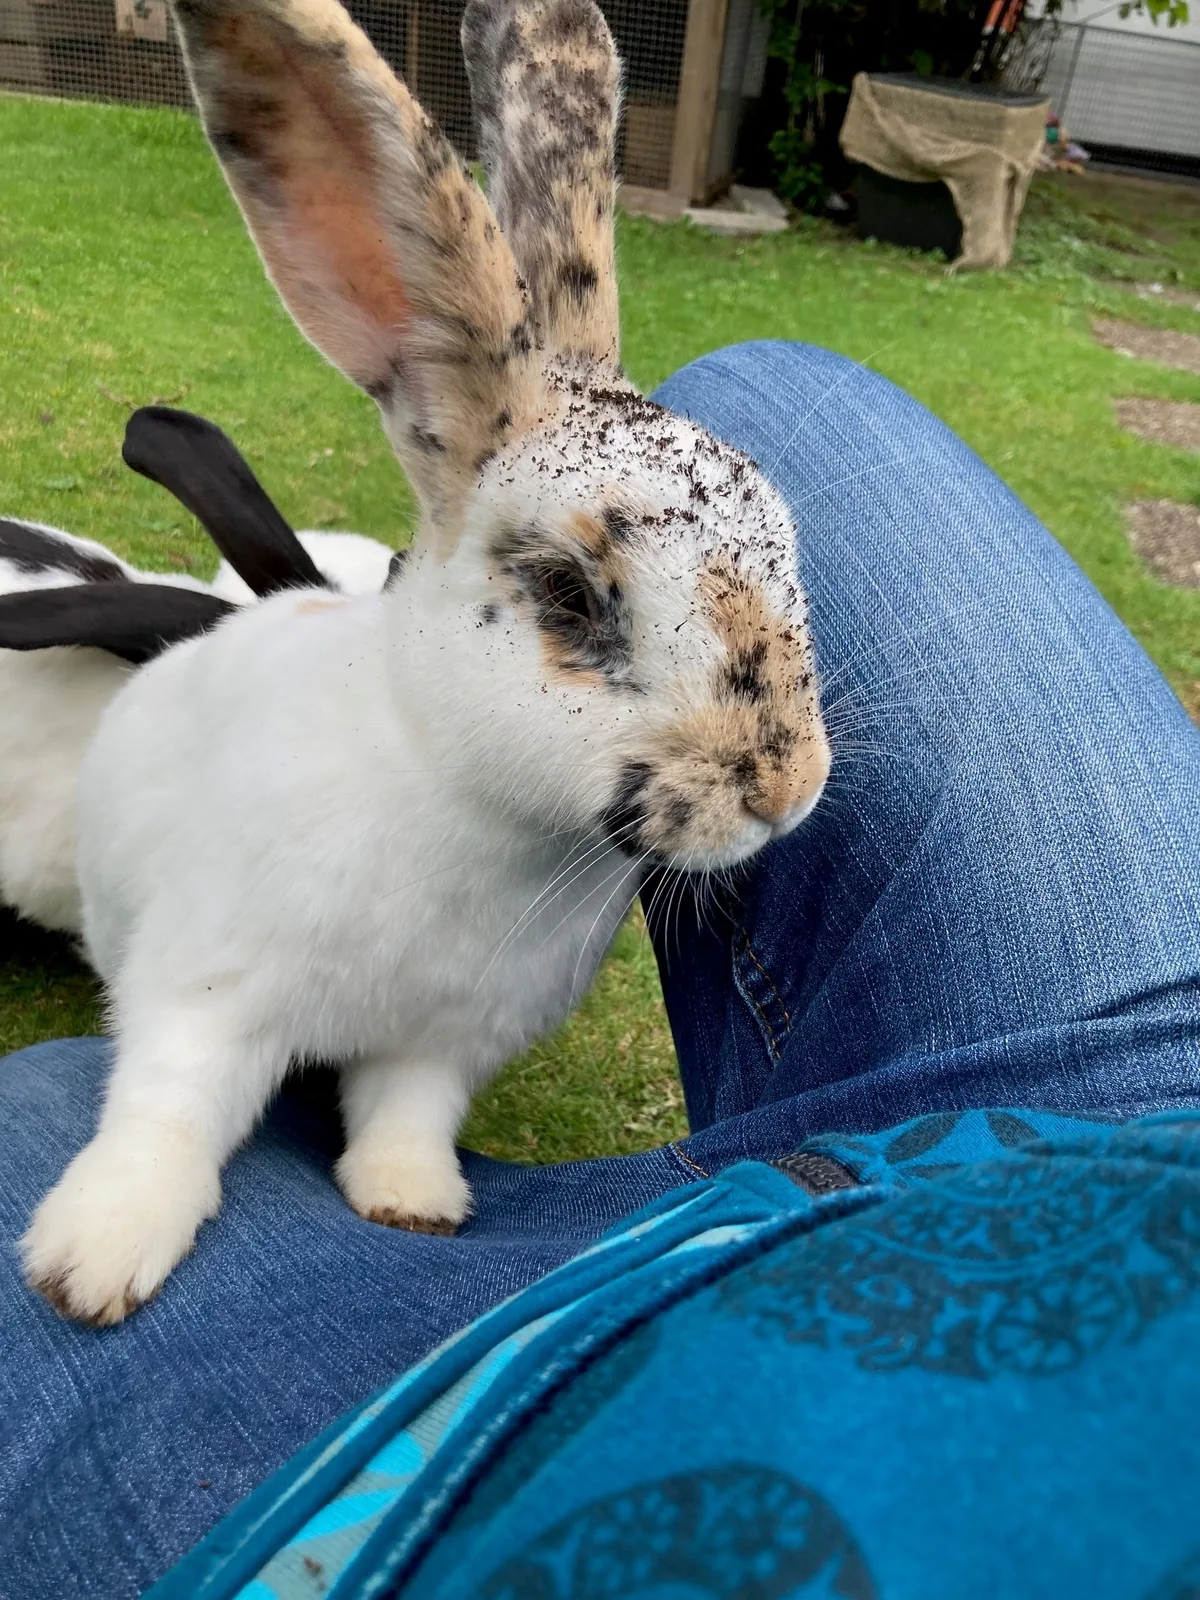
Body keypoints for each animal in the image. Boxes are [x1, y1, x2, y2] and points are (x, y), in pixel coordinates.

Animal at [21, 0, 831, 1326]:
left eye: (788, 541)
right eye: (568, 593)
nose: (788, 788)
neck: (472, 813)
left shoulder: (441, 1045)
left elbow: (406, 1116)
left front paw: (412, 1202)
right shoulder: (206, 988)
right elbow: (167, 1112)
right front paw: (91, 1261)